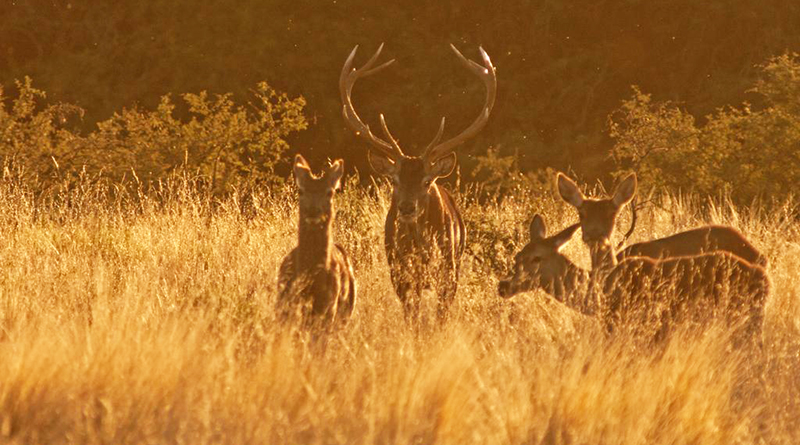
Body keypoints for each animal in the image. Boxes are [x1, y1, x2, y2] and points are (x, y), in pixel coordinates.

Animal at [340, 43, 496, 320]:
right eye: (394, 180)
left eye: (426, 181)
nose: (406, 207)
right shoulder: (400, 274)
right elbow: (411, 317)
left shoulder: (449, 272)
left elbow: (441, 317)